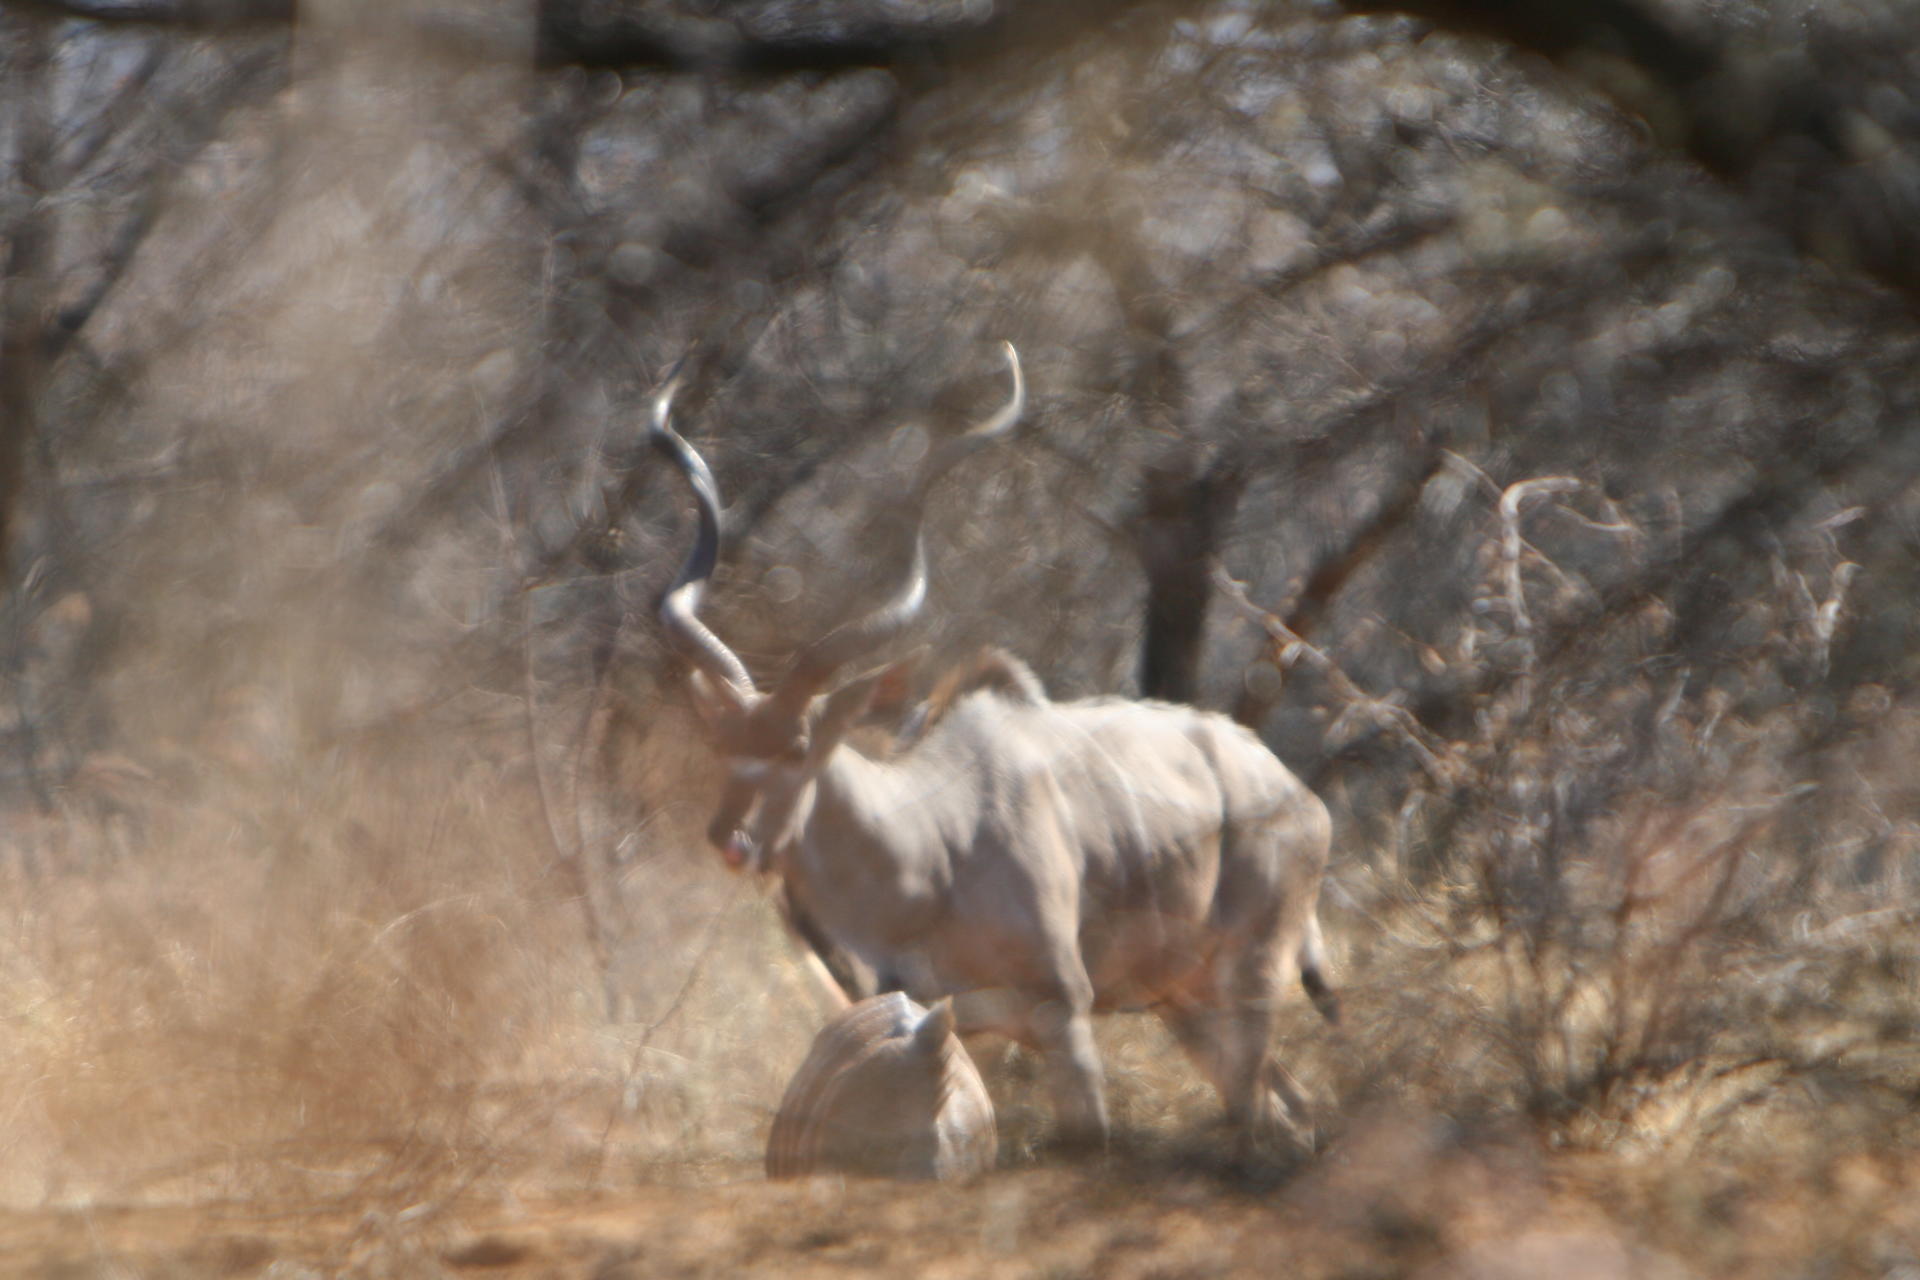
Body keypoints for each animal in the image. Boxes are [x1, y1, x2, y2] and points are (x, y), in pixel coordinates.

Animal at [645, 347, 1336, 1151]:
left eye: (798, 748)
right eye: (721, 742)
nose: (733, 840)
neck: (930, 848)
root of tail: (1299, 795)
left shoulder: (1063, 1018)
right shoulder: (951, 1030)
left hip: (1246, 980)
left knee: (1262, 1106)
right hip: (1184, 1002)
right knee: (1287, 1104)